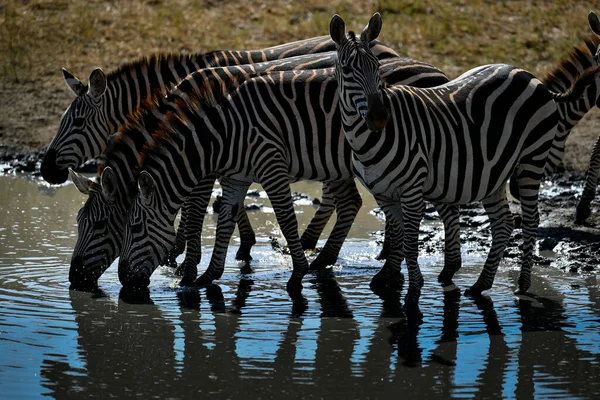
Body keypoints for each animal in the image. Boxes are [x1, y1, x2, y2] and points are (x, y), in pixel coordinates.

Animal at [328, 14, 600, 304]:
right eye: (346, 69)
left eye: (377, 67)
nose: (380, 118)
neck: (365, 142)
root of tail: (528, 74)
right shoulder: (383, 194)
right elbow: (399, 238)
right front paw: (386, 279)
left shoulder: (412, 191)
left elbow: (411, 244)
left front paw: (413, 291)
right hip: (495, 173)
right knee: (503, 223)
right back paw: (481, 283)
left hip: (532, 160)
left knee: (530, 221)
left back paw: (523, 284)